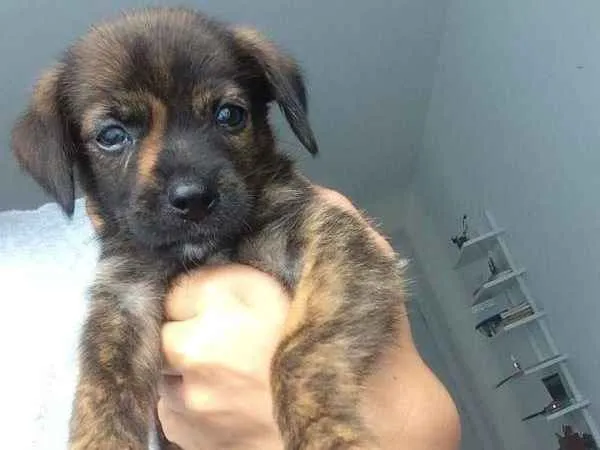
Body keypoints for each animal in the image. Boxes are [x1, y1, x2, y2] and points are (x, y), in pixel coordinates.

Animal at [12, 8, 405, 450]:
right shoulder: (124, 299)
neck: (204, 251)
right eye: (112, 135)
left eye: (230, 115)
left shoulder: (334, 240)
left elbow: (301, 352)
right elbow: (102, 389)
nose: (193, 199)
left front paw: (328, 434)